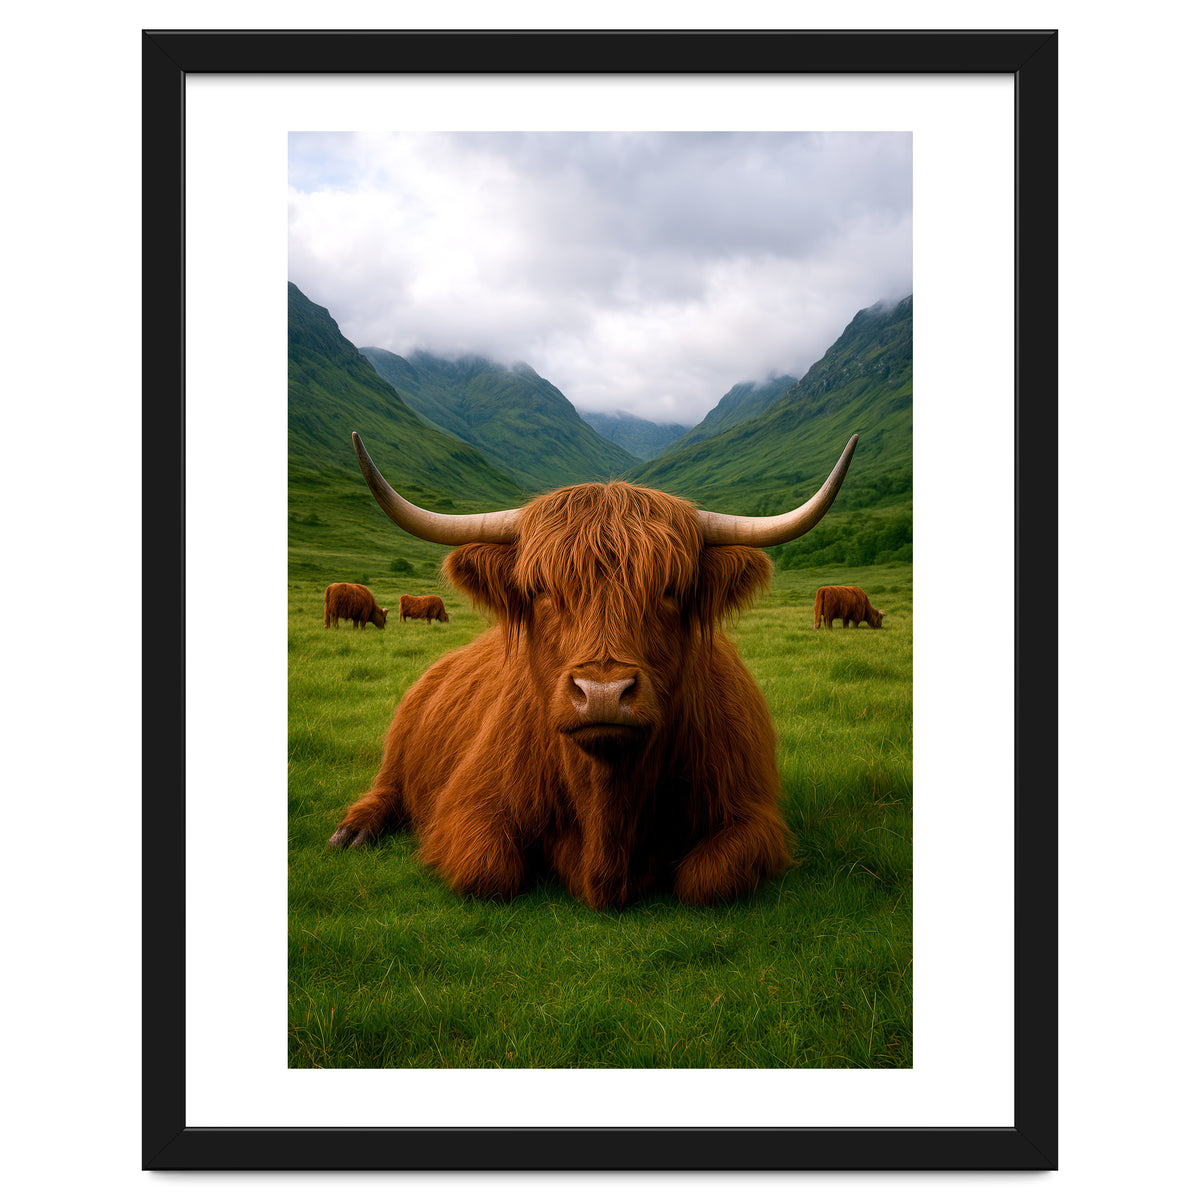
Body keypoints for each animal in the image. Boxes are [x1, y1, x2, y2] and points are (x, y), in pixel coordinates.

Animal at [328, 431, 858, 910]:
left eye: (671, 590)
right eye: (541, 589)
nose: (603, 693)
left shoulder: (751, 815)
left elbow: (706, 880)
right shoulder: (467, 804)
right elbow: (489, 870)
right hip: (400, 745)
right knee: (387, 787)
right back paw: (352, 832)